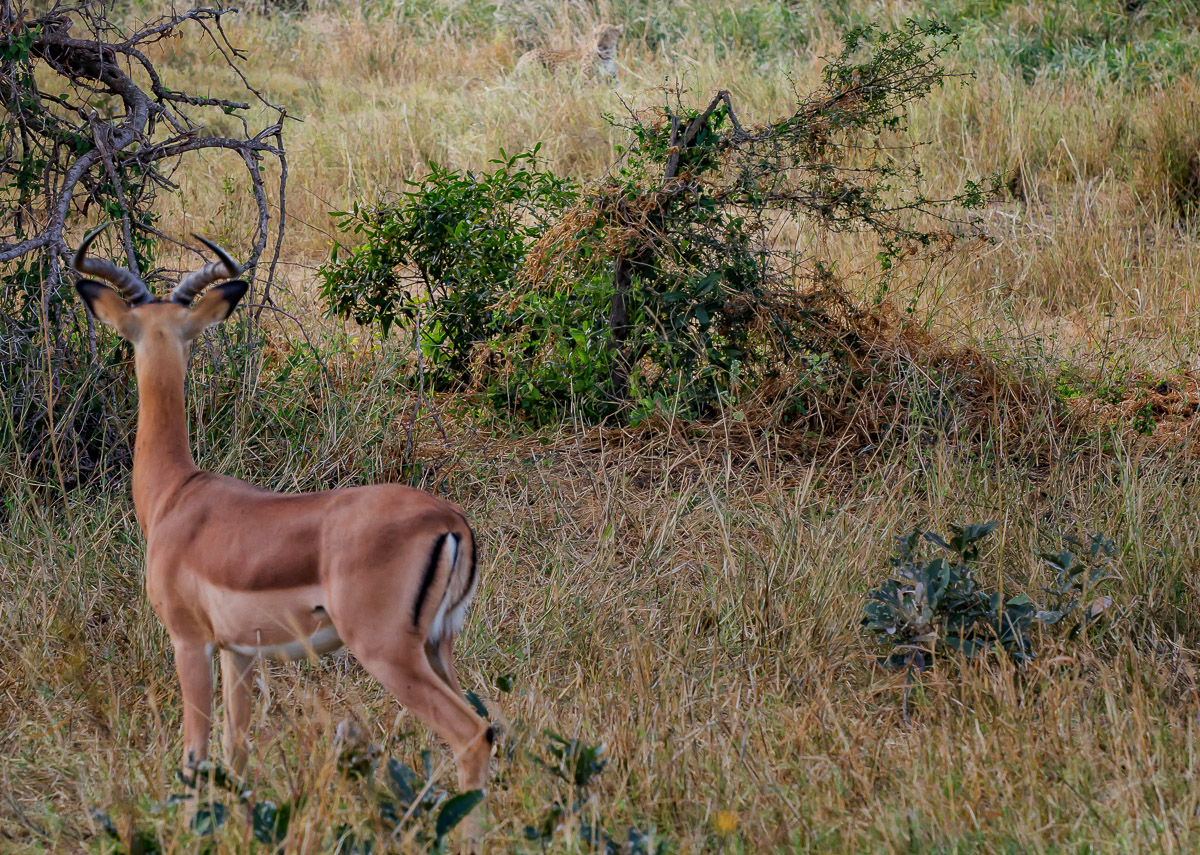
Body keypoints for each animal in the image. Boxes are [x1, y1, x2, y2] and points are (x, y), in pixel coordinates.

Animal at [72, 226, 492, 848]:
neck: (177, 496)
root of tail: (450, 522)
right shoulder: (240, 653)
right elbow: (236, 750)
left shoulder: (189, 642)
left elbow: (195, 752)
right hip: (440, 646)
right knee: (490, 724)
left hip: (388, 653)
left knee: (471, 735)